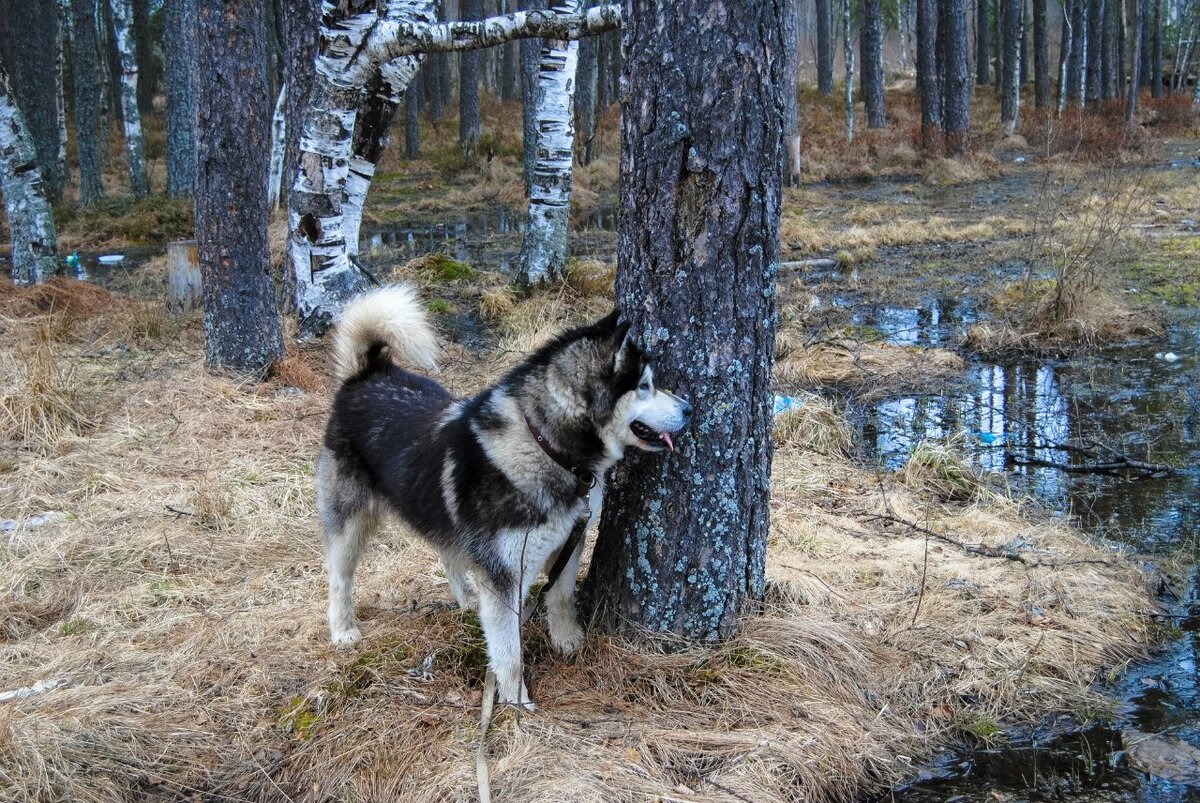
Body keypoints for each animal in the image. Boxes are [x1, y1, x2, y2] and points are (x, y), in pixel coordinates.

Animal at [316, 284, 696, 705]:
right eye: (644, 386)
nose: (689, 408)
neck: (547, 447)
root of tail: (364, 375)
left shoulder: (567, 543)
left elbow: (560, 596)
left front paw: (567, 640)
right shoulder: (505, 577)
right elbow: (509, 649)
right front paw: (516, 701)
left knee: (448, 549)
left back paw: (466, 598)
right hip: (350, 523)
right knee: (339, 577)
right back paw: (343, 629)